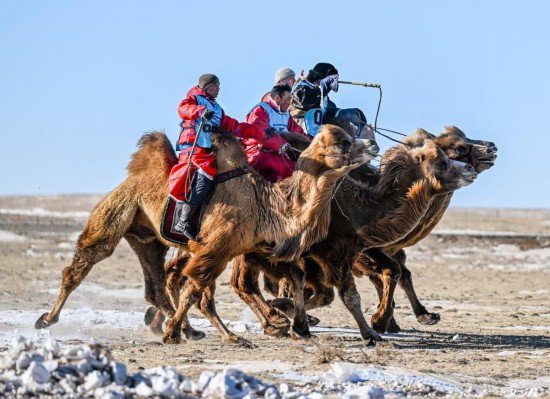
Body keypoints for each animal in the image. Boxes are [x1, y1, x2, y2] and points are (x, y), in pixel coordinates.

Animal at [34, 123, 380, 346]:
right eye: (344, 141)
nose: (374, 144)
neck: (269, 204)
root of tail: (132, 177)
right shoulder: (216, 247)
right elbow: (193, 291)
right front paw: (171, 334)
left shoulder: (250, 248)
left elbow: (291, 278)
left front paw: (296, 325)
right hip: (117, 213)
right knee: (83, 263)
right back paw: (46, 320)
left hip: (148, 239)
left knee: (157, 283)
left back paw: (196, 331)